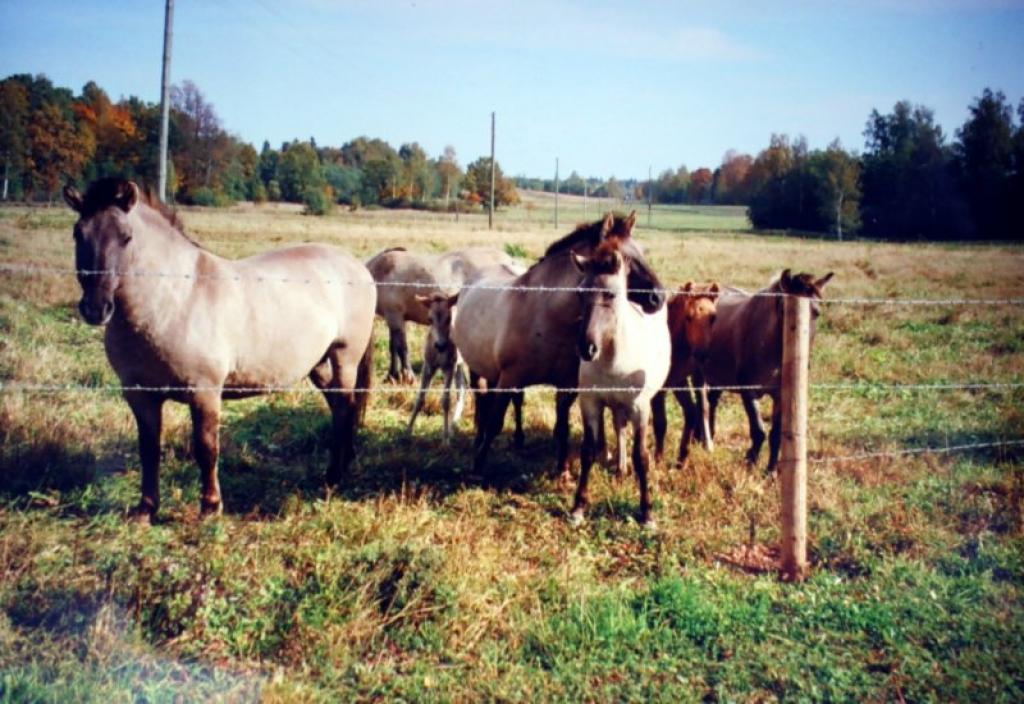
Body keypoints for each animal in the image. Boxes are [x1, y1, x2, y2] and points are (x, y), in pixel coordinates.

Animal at [62, 179, 376, 523]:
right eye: (78, 233)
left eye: (126, 237)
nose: (96, 308)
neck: (176, 299)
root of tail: (357, 266)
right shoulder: (140, 395)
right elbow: (149, 449)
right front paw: (146, 509)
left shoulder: (205, 392)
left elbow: (206, 448)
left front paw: (210, 508)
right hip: (316, 365)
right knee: (338, 407)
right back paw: (342, 464)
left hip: (344, 358)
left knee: (345, 407)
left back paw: (333, 478)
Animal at [364, 246, 516, 382]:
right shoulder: (393, 319)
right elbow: (393, 347)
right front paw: (392, 376)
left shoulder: (395, 316)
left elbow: (402, 347)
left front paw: (408, 376)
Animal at [454, 210, 663, 478]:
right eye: (625, 258)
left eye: (642, 252)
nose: (659, 297)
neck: (547, 315)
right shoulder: (510, 378)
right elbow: (495, 423)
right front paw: (478, 467)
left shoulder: (566, 384)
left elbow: (562, 426)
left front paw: (563, 470)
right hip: (478, 370)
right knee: (482, 402)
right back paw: (478, 440)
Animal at [569, 241, 671, 528]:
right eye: (580, 294)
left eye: (611, 295)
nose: (586, 348)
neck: (614, 361)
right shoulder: (591, 403)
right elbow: (588, 451)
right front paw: (578, 508)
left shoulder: (639, 408)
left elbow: (642, 457)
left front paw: (647, 513)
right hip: (615, 405)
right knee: (619, 427)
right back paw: (620, 468)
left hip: (654, 396)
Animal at [704, 270, 831, 472]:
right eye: (785, 311)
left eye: (817, 313)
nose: (804, 360)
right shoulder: (749, 393)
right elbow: (758, 431)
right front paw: (750, 462)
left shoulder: (780, 396)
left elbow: (775, 435)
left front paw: (770, 470)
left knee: (713, 402)